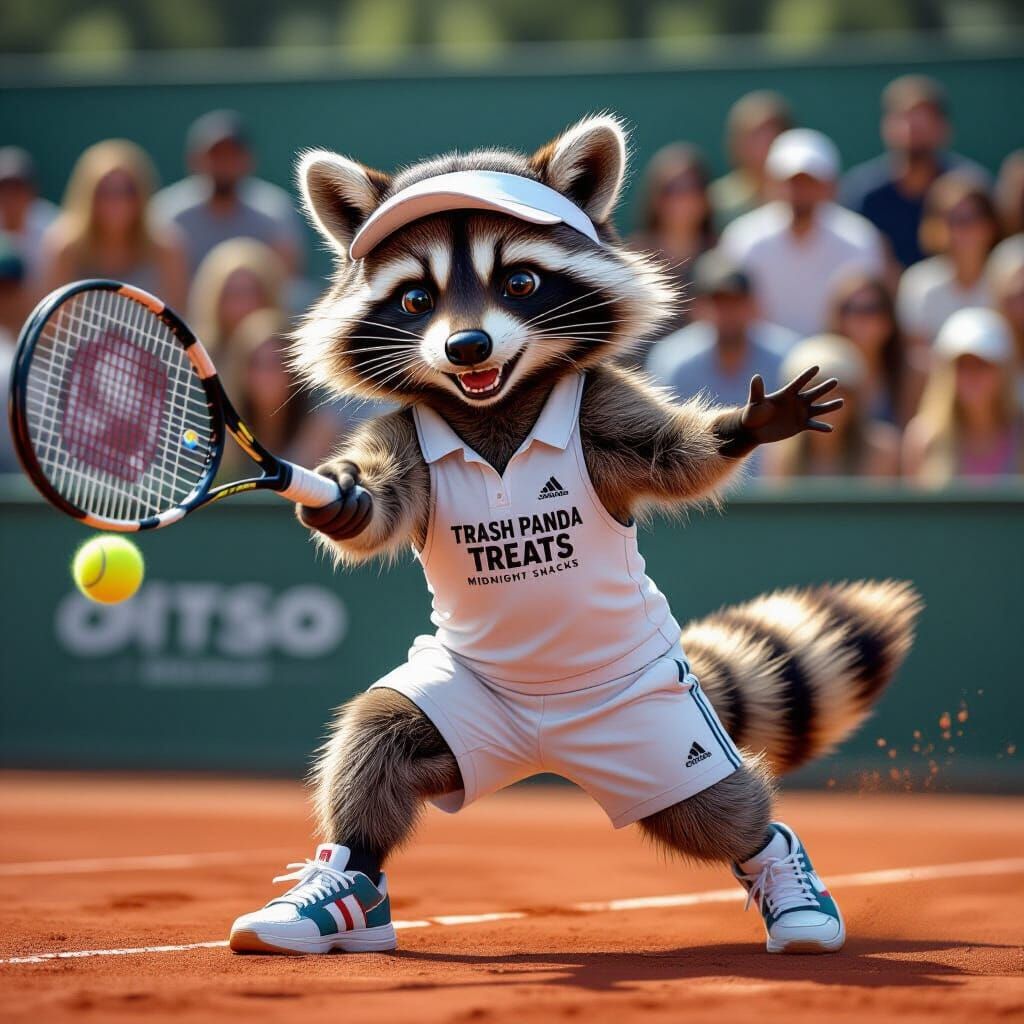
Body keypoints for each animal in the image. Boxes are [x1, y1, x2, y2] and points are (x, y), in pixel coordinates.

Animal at [227, 116, 920, 956]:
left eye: (520, 284)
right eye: (416, 298)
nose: (466, 348)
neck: (493, 406)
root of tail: (542, 741)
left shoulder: (601, 414)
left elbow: (677, 460)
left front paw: (745, 427)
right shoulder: (405, 432)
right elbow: (384, 506)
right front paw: (346, 501)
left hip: (662, 731)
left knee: (718, 812)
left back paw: (784, 875)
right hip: (466, 706)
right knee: (381, 738)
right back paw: (345, 880)